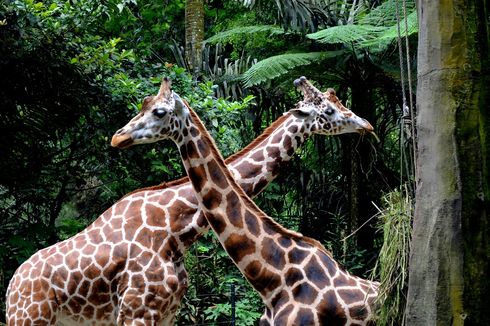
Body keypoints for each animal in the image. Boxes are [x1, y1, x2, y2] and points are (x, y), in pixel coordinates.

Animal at [6, 77, 376, 326]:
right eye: (330, 110)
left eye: (340, 105)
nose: (367, 124)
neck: (176, 226)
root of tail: (11, 287)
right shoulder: (136, 311)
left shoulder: (168, 310)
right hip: (31, 318)